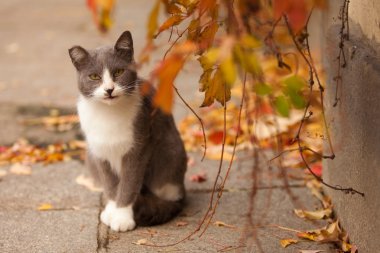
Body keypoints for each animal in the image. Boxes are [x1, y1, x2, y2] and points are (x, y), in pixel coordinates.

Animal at [69, 31, 188, 231]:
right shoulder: (99, 151)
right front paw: (111, 211)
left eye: (118, 72)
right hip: (89, 156)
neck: (107, 113)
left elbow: (128, 184)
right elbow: (110, 185)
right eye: (94, 76)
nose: (109, 89)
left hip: (170, 152)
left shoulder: (138, 147)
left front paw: (122, 218)